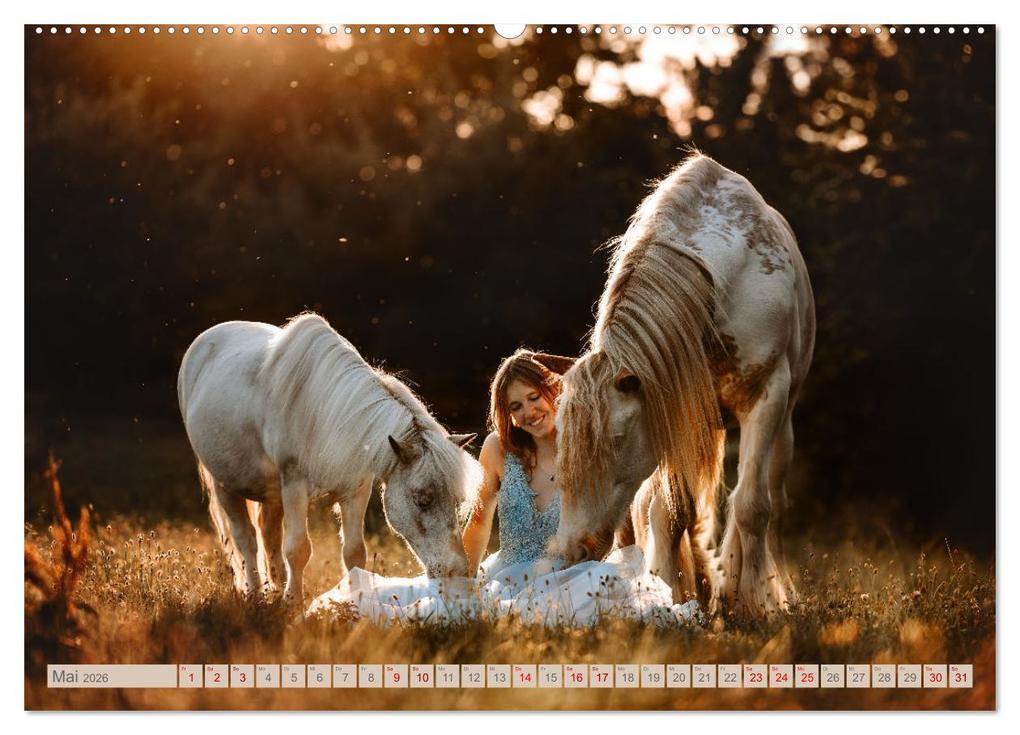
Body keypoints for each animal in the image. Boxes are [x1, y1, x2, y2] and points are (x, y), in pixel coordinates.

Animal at [177, 312, 479, 604]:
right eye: (422, 500)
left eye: (457, 501)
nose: (457, 573)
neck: (325, 415)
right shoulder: (294, 486)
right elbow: (298, 549)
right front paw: (293, 604)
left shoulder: (356, 490)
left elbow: (354, 552)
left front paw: (356, 603)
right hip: (224, 485)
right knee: (246, 540)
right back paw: (255, 595)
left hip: (272, 493)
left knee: (268, 535)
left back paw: (274, 590)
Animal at [553, 153, 815, 617]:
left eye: (616, 439)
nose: (572, 551)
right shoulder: (675, 410)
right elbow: (671, 513)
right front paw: (673, 594)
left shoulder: (766, 398)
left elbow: (752, 507)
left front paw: (752, 601)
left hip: (782, 427)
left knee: (773, 501)